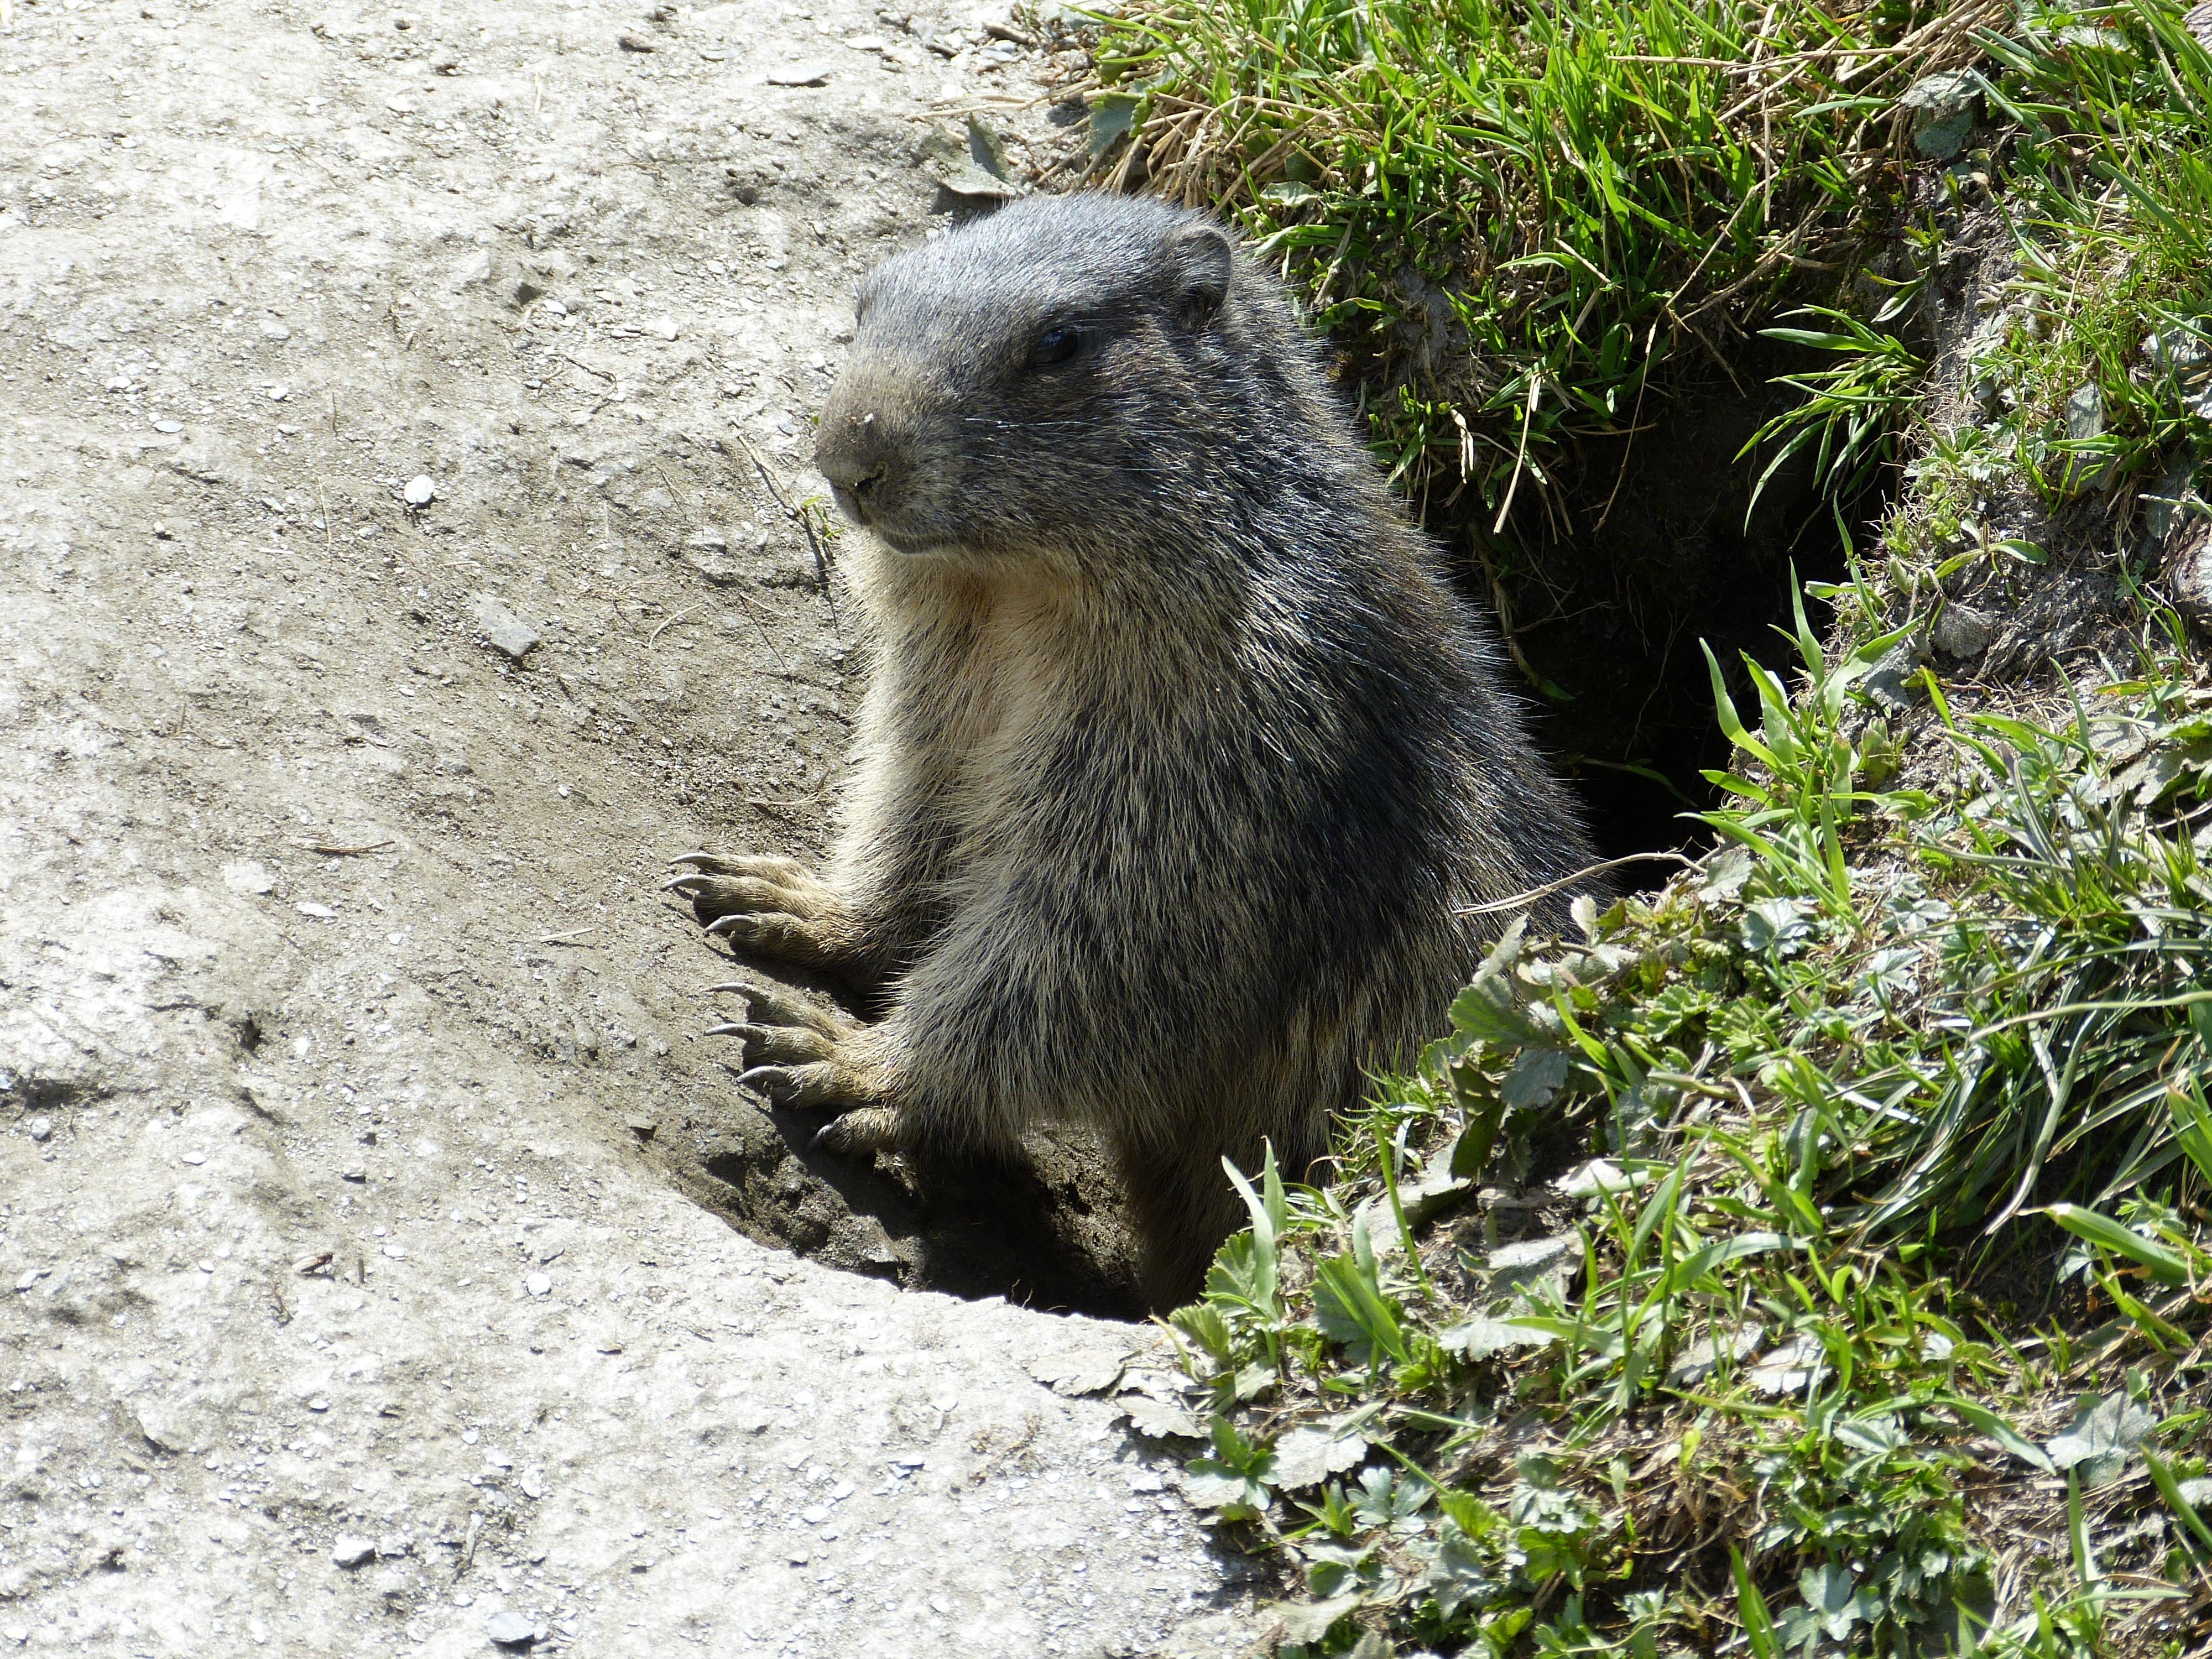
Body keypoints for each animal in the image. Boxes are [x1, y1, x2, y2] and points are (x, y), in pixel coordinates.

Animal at [667, 193, 1601, 1309]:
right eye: (863, 305)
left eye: (1059, 343)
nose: (852, 454)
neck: (1012, 598)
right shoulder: (943, 680)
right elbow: (916, 796)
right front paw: (785, 896)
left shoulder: (1231, 726)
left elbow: (1106, 928)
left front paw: (841, 1054)